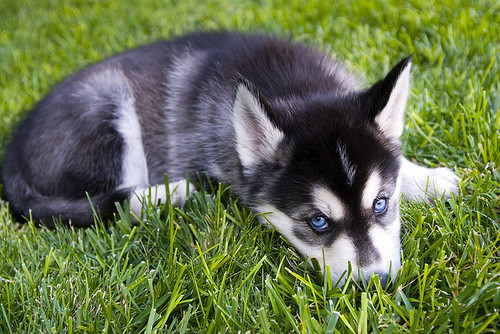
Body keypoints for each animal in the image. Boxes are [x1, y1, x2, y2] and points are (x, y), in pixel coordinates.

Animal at [1, 32, 458, 284]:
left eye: (381, 204)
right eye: (317, 222)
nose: (376, 283)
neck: (297, 87)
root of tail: (11, 156)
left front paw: (429, 179)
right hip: (107, 105)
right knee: (117, 200)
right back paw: (170, 193)